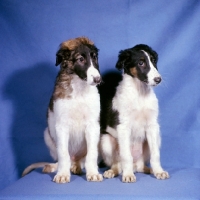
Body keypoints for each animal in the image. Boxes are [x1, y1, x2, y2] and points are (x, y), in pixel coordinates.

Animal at [22, 36, 102, 184]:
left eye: (94, 58)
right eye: (81, 59)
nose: (98, 79)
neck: (79, 88)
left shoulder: (93, 125)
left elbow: (91, 153)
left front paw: (93, 173)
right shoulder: (61, 125)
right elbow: (63, 154)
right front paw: (62, 174)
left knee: (81, 160)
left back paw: (77, 166)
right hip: (47, 134)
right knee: (64, 159)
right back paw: (55, 167)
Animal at [99, 44, 169, 182]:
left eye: (153, 61)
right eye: (141, 63)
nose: (158, 79)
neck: (140, 93)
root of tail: (136, 166)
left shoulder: (152, 126)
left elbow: (155, 155)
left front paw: (159, 171)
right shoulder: (123, 126)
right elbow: (126, 155)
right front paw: (128, 175)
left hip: (156, 139)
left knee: (142, 165)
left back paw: (150, 170)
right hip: (105, 141)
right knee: (117, 164)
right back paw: (114, 171)